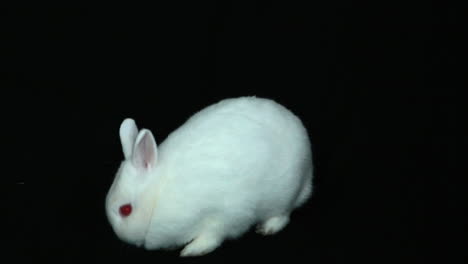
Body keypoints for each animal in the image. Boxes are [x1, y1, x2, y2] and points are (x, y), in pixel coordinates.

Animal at [104, 96, 312, 256]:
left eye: (125, 210)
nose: (120, 235)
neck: (157, 198)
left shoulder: (223, 215)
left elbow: (212, 236)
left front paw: (191, 250)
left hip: (284, 193)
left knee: (283, 214)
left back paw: (268, 228)